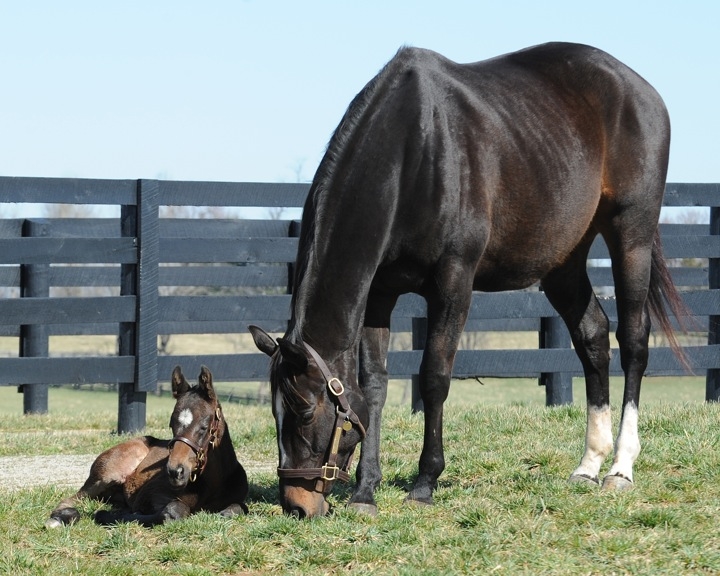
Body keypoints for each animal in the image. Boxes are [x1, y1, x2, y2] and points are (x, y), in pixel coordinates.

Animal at [45, 366, 248, 528]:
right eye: (171, 424)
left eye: (204, 427)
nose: (175, 472)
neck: (211, 483)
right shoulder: (151, 496)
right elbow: (172, 512)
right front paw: (109, 515)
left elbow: (236, 509)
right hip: (108, 475)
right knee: (72, 499)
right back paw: (60, 518)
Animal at [248, 41, 688, 516]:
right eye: (274, 412)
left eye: (305, 411)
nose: (295, 504)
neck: (413, 154)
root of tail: (640, 89)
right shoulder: (379, 293)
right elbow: (375, 385)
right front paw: (366, 490)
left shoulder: (453, 282)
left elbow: (434, 377)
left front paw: (425, 481)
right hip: (565, 260)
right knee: (592, 337)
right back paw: (589, 464)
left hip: (632, 236)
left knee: (634, 341)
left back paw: (621, 468)